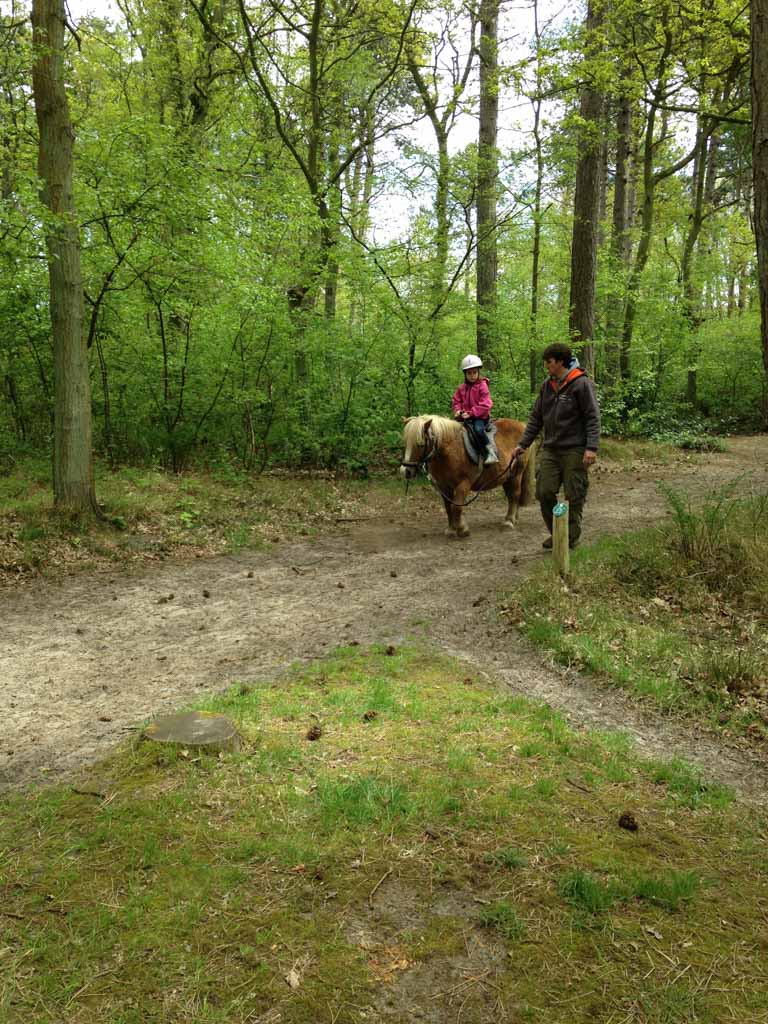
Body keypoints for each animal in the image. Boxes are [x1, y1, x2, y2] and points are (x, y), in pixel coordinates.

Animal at [399, 415, 536, 544]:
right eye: (406, 443)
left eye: (420, 444)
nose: (405, 471)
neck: (450, 450)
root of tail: (522, 425)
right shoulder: (444, 486)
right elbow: (448, 507)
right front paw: (451, 529)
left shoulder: (463, 484)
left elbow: (457, 507)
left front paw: (462, 529)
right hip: (506, 476)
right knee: (511, 496)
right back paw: (514, 517)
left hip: (516, 474)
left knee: (515, 494)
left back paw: (509, 521)